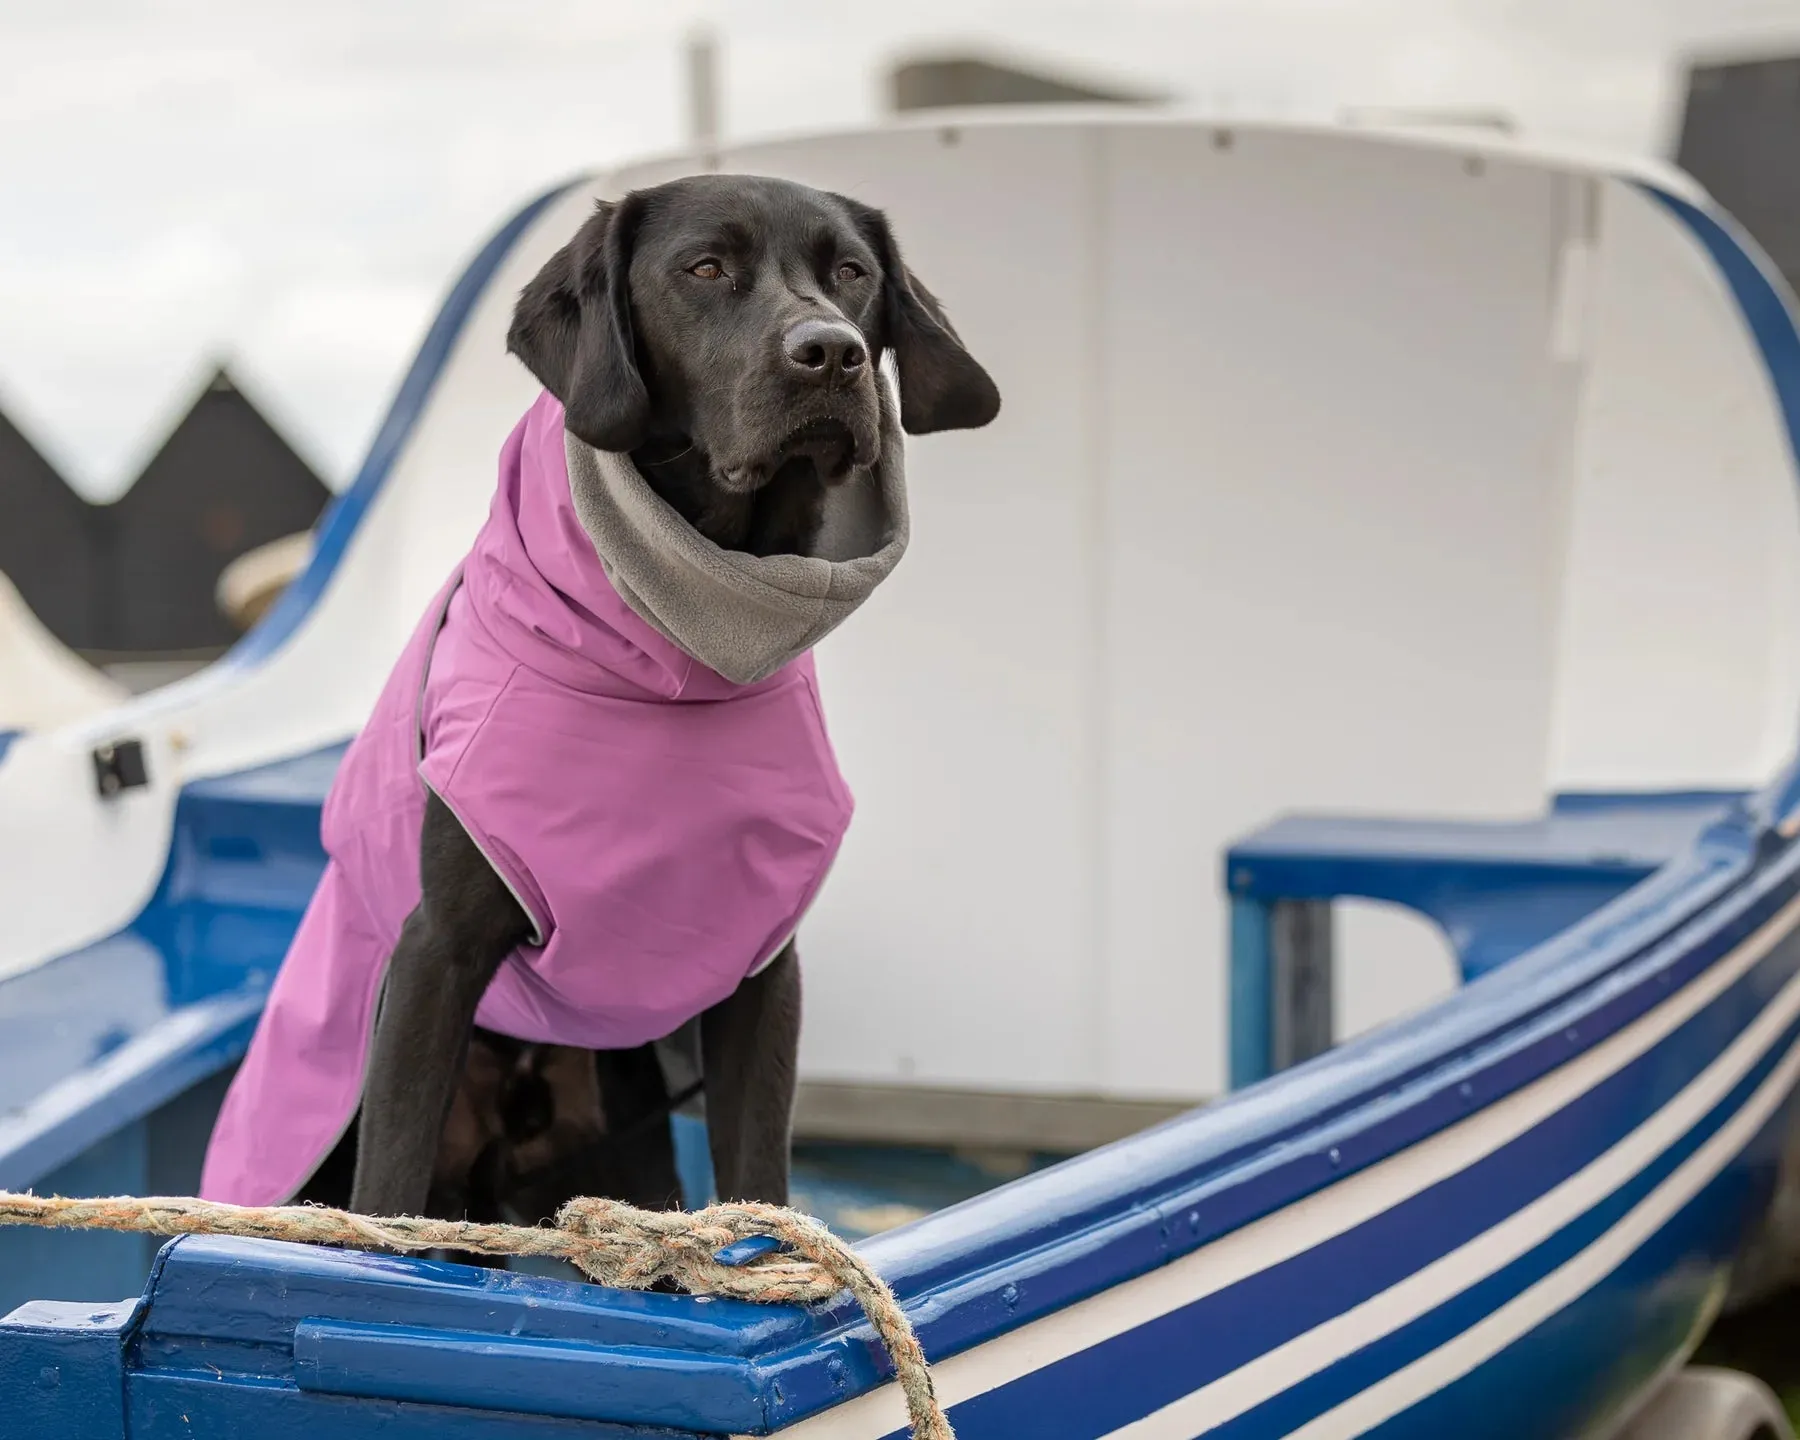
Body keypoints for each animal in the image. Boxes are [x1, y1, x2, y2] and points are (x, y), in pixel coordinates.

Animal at [306, 177, 1000, 1238]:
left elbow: (758, 1174)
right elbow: (385, 1200)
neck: (677, 653)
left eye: (852, 272)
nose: (832, 351)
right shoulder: (435, 954)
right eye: (705, 268)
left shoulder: (765, 971)